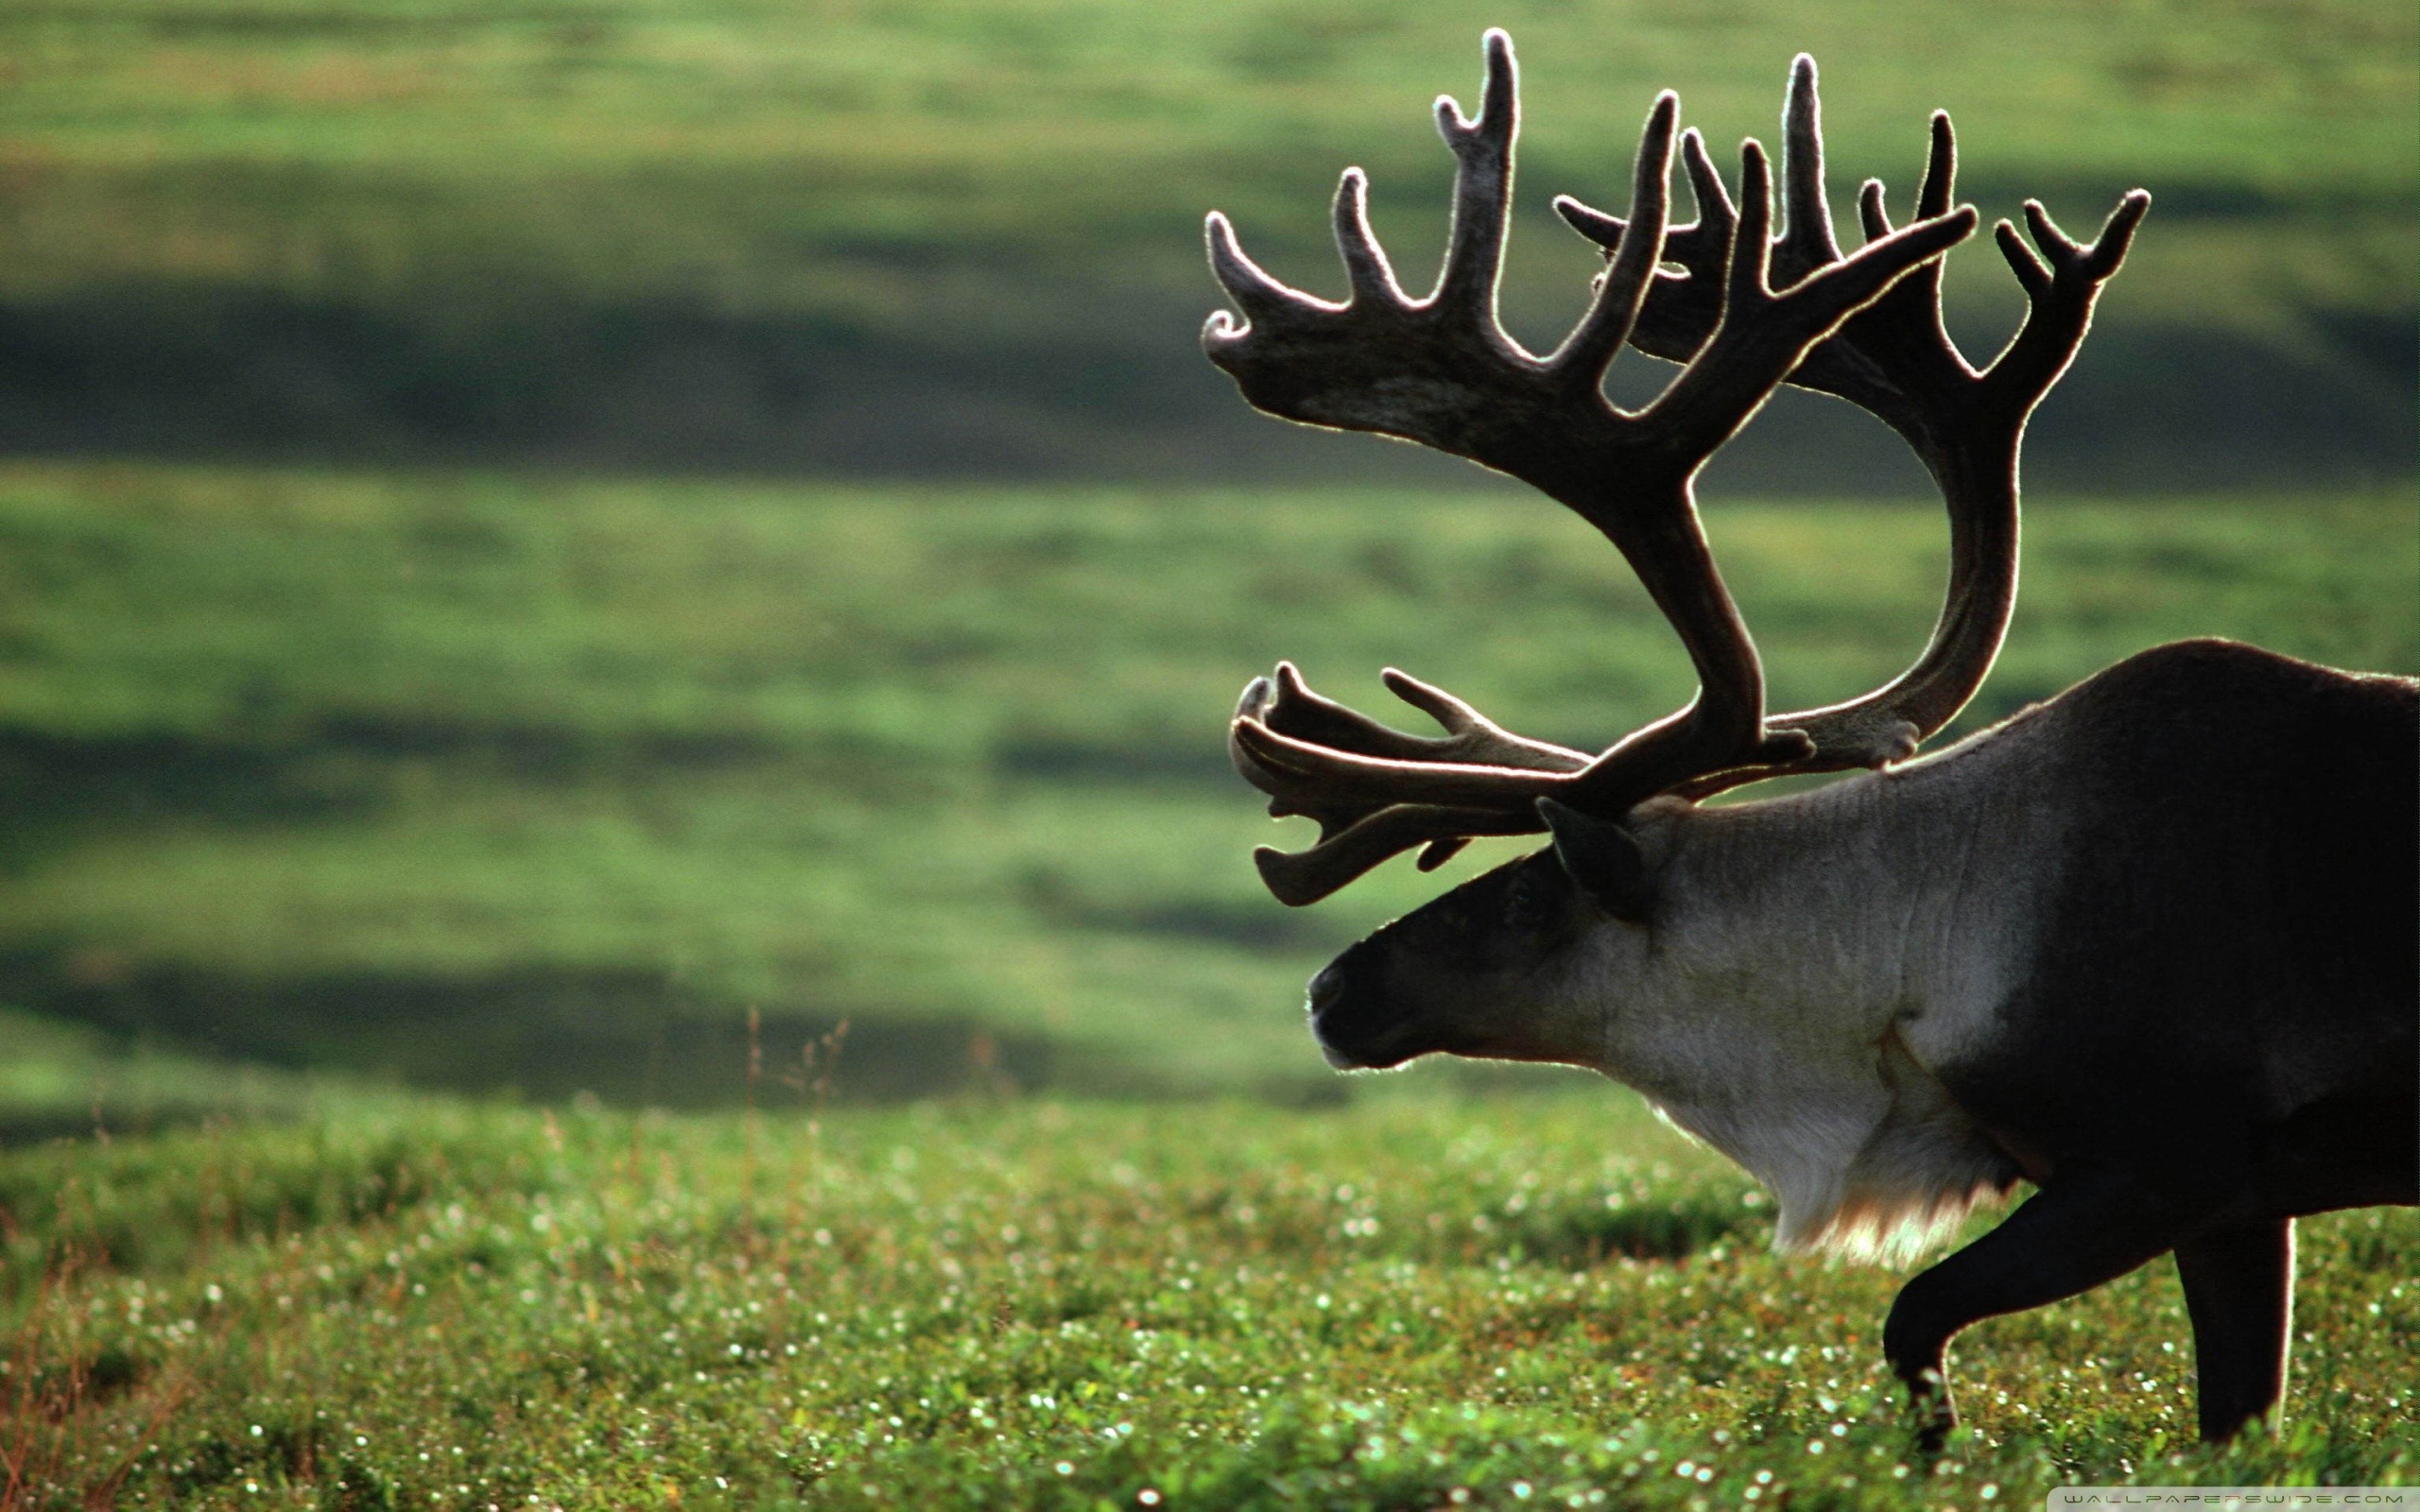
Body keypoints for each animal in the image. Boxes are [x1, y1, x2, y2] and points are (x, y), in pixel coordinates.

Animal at [1202, 31, 2418, 1449]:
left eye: (1526, 896)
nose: (1332, 992)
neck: (1926, 951)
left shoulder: (2169, 1156)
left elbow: (1913, 1320)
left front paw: (1930, 1450)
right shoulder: (2238, 1200)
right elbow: (2236, 1409)